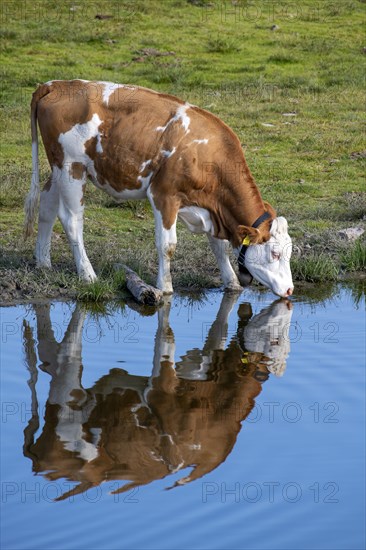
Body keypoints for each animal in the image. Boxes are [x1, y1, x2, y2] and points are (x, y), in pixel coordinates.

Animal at [23, 78, 294, 298]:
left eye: (290, 253)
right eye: (275, 254)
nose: (290, 289)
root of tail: (57, 84)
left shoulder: (211, 208)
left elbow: (219, 247)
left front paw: (232, 282)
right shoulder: (164, 195)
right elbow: (167, 245)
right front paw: (165, 287)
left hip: (58, 168)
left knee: (46, 205)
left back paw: (43, 261)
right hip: (72, 168)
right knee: (71, 220)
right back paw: (87, 274)